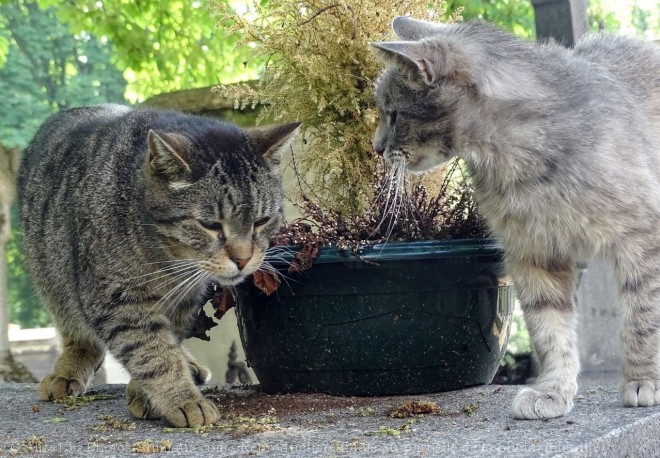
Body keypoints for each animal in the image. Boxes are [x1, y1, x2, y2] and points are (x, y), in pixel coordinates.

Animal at [17, 105, 300, 428]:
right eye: (211, 225)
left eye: (261, 221)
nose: (242, 259)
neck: (169, 262)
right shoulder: (117, 298)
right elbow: (151, 352)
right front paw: (182, 398)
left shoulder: (184, 300)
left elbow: (166, 342)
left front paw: (146, 391)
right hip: (53, 275)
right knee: (77, 330)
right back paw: (68, 368)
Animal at [374, 17, 656, 418]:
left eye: (394, 114)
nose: (376, 147)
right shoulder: (533, 253)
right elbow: (550, 331)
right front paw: (552, 390)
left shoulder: (642, 238)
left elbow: (642, 319)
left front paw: (643, 379)